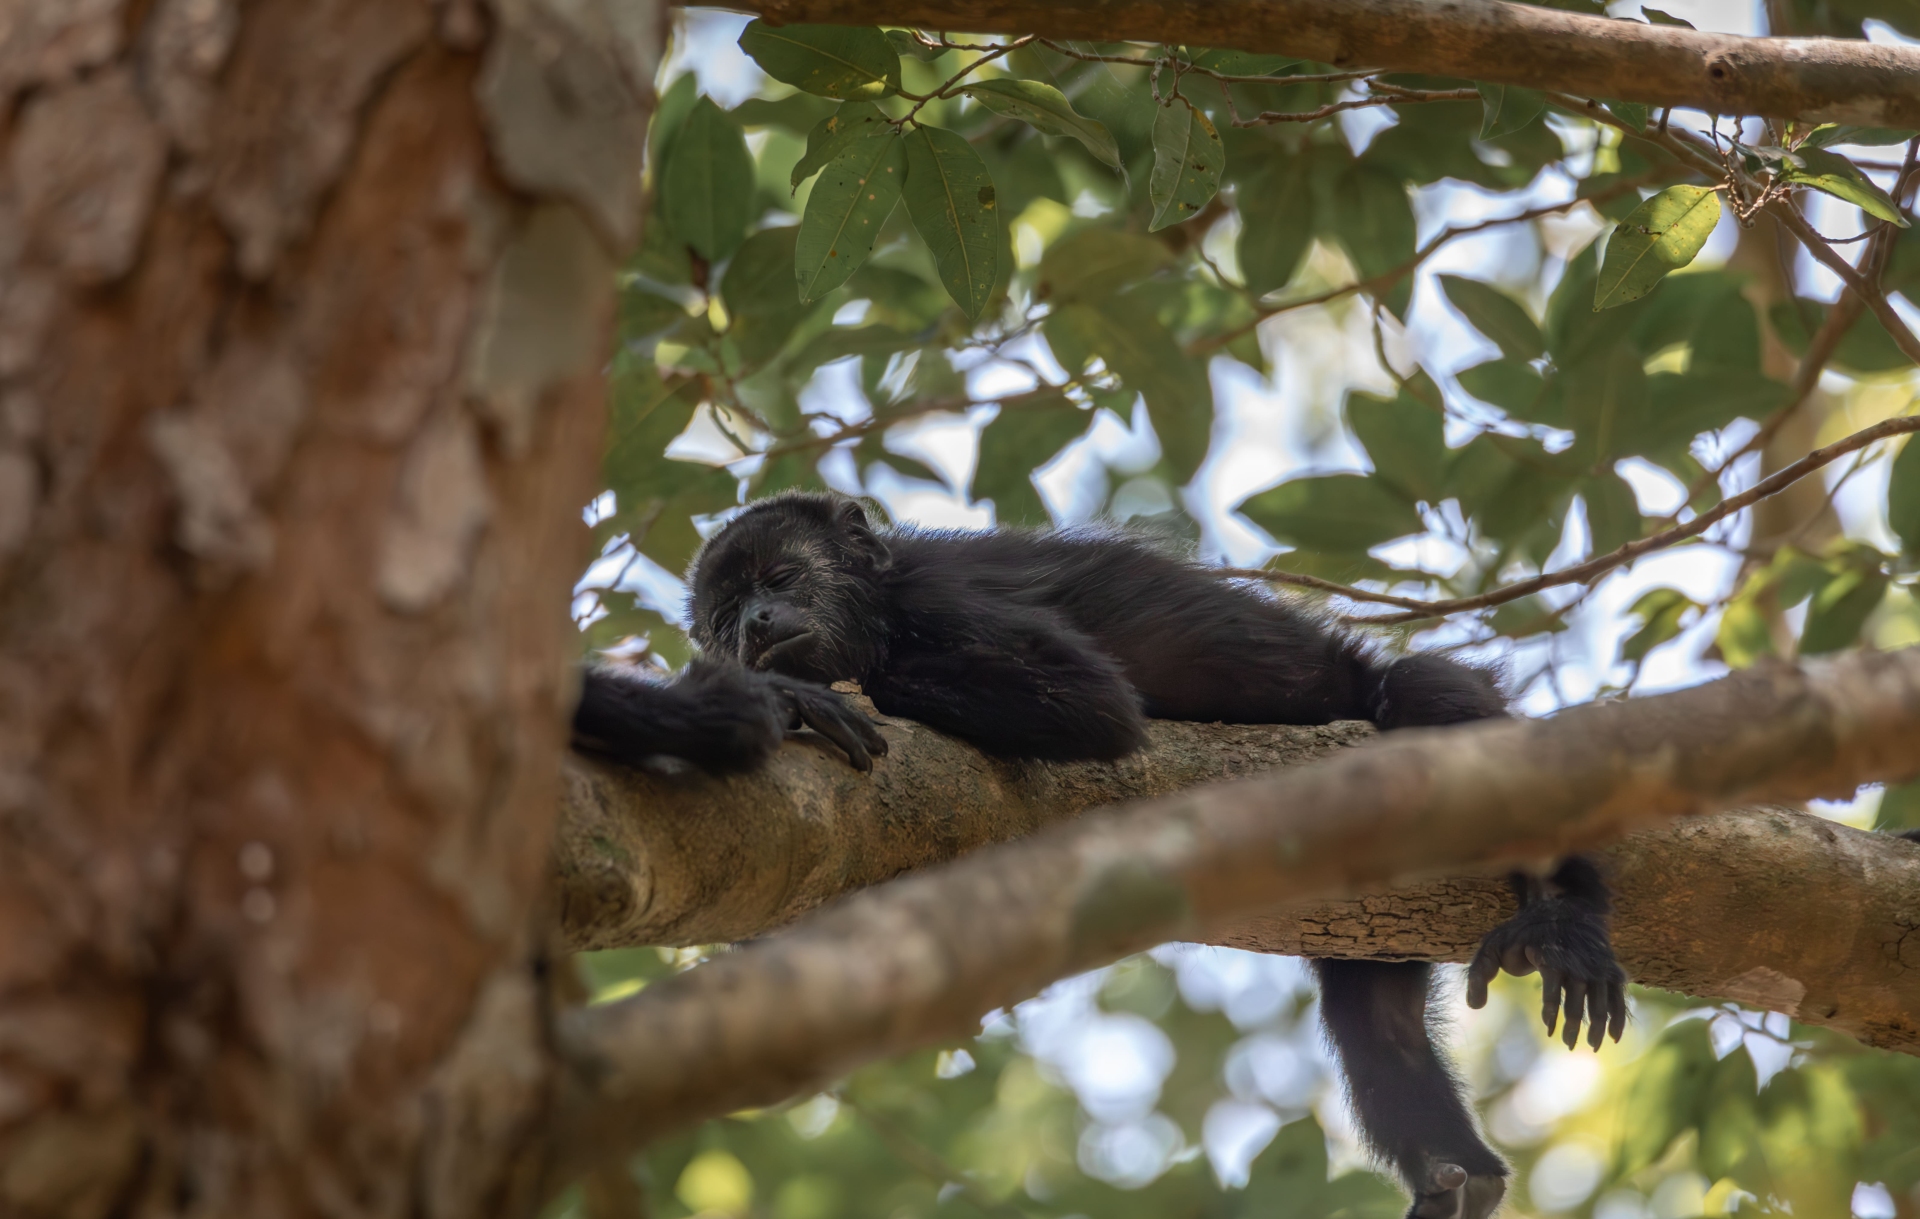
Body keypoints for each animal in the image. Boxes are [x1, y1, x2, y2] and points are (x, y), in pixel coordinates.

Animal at [685, 490, 1628, 1219]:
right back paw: (1457, 1175)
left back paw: (1566, 916)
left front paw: (791, 695)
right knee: (1374, 1011)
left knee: (1424, 692)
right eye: (727, 614)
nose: (758, 624)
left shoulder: (942, 598)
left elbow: (1093, 703)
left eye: (779, 578)